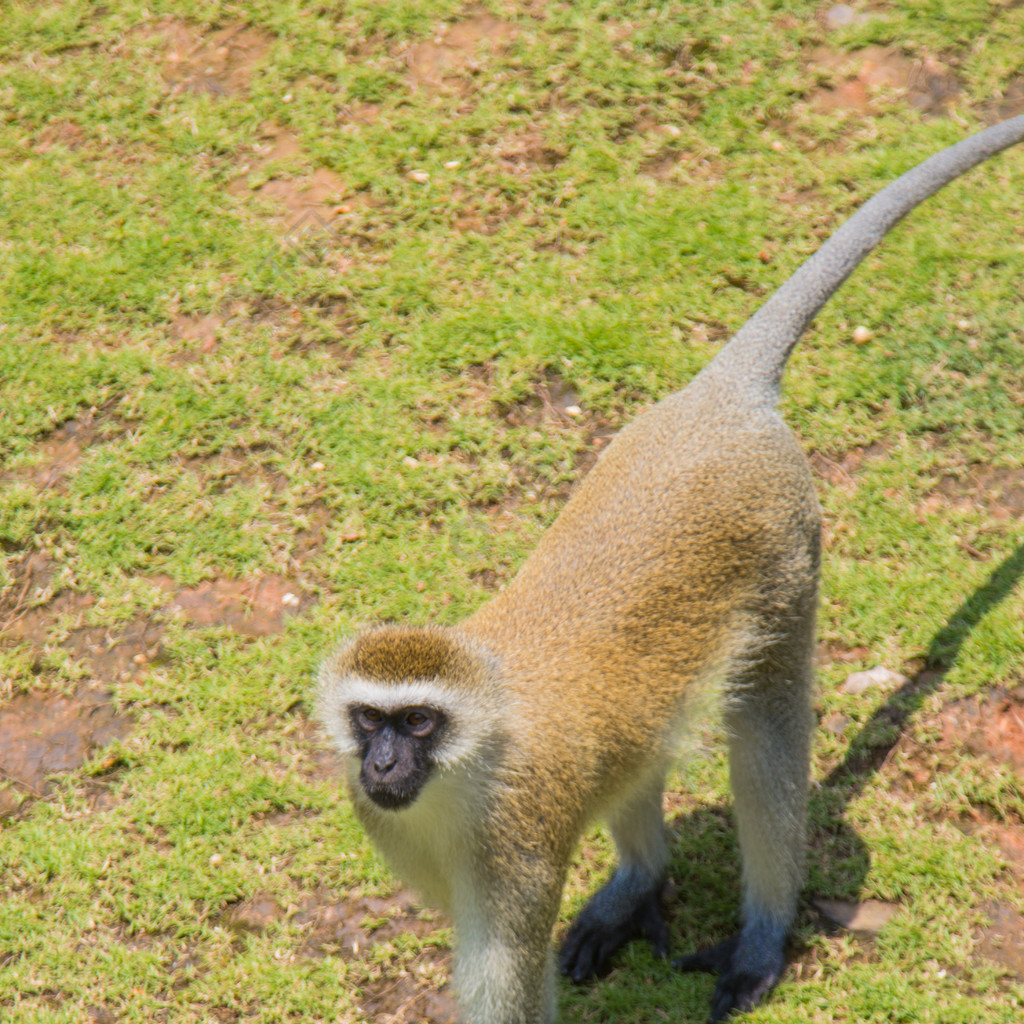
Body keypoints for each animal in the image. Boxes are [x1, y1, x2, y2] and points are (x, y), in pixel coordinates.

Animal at [317, 116, 1024, 1019]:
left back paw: (762, 934)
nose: (382, 764)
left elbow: (506, 977)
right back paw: (638, 882)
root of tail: (719, 402)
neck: (466, 770)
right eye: (370, 719)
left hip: (788, 555)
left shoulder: (513, 847)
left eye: (417, 724)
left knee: (765, 728)